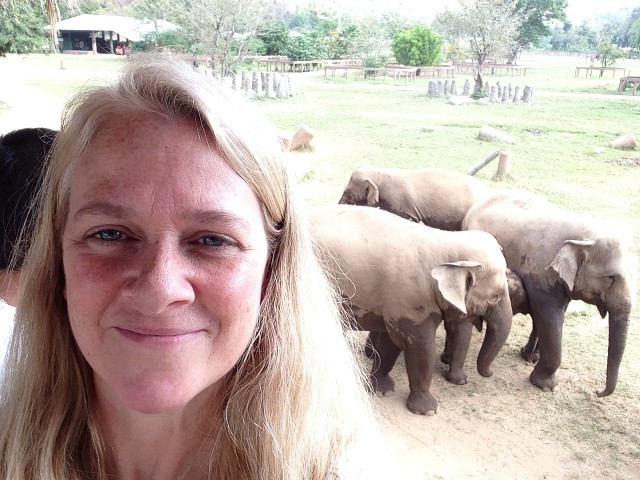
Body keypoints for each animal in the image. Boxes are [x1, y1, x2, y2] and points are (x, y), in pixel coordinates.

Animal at [308, 204, 512, 414]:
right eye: (495, 297)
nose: (489, 373)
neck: (446, 244)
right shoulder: (412, 303)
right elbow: (422, 347)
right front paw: (427, 410)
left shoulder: (395, 306)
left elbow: (391, 343)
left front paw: (381, 391)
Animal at [462, 189, 636, 396]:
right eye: (611, 277)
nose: (597, 391)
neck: (585, 233)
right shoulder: (541, 275)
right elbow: (552, 319)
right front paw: (546, 385)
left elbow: (548, 317)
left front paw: (530, 356)